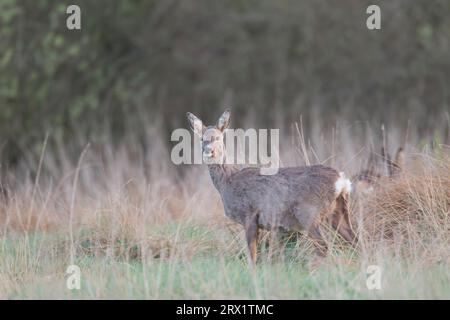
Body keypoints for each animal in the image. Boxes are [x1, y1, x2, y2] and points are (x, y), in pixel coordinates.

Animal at [185, 110, 356, 264]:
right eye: (202, 138)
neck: (228, 181)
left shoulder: (249, 215)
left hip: (308, 213)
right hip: (339, 210)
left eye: (218, 138)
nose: (209, 150)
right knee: (353, 241)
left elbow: (252, 254)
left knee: (323, 246)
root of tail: (341, 181)